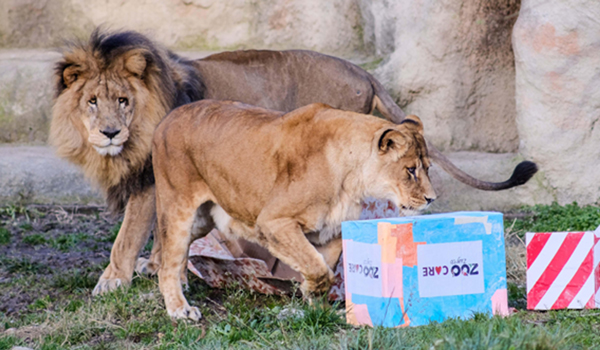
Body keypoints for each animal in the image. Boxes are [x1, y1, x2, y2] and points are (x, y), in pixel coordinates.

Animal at [51, 29, 536, 296]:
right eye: (91, 101)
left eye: (122, 100)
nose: (109, 133)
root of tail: (365, 71)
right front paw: (155, 271)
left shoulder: (149, 179)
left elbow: (129, 233)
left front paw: (113, 279)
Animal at [154, 99, 436, 320]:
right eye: (411, 170)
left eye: (428, 168)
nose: (432, 199)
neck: (352, 179)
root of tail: (168, 118)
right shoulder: (273, 222)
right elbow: (317, 267)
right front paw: (309, 293)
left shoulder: (331, 233)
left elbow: (324, 268)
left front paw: (317, 309)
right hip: (179, 208)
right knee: (169, 260)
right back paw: (180, 309)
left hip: (202, 220)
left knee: (166, 253)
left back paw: (177, 281)